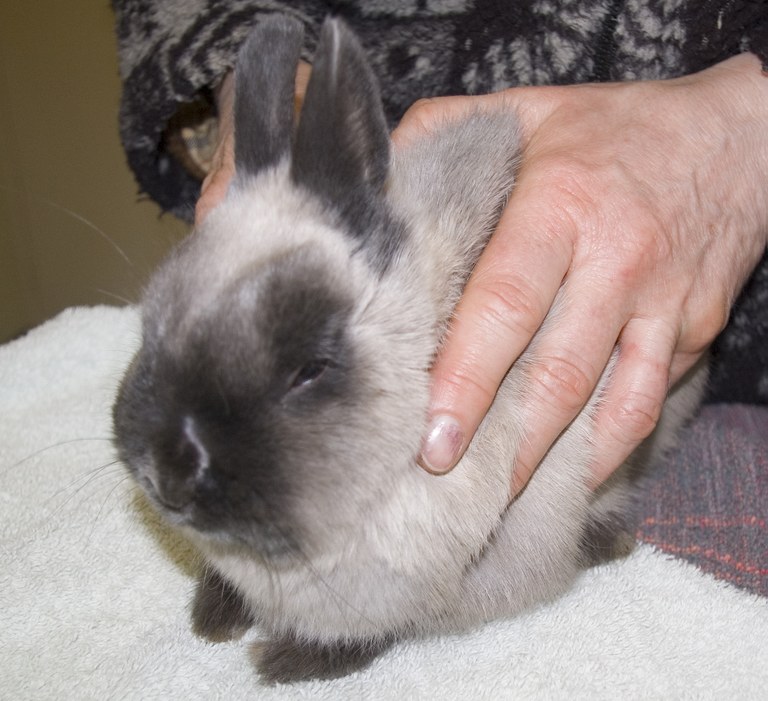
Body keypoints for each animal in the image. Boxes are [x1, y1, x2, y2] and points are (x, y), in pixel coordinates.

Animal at [109, 15, 708, 684]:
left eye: (308, 371)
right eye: (153, 320)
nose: (166, 476)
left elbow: (381, 630)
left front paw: (283, 661)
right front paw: (214, 619)